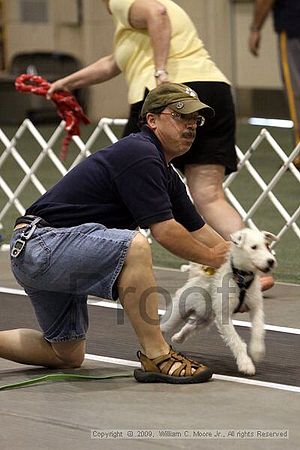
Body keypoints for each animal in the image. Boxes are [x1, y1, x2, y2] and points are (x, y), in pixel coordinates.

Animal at [161, 229, 278, 376]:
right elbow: (237, 342)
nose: (271, 261)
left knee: (190, 326)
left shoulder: (256, 308)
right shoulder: (224, 317)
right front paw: (246, 364)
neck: (240, 278)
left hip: (205, 319)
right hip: (178, 312)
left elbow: (258, 330)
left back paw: (178, 337)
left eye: (267, 245)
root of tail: (195, 277)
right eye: (254, 247)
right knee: (163, 326)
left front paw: (257, 351)